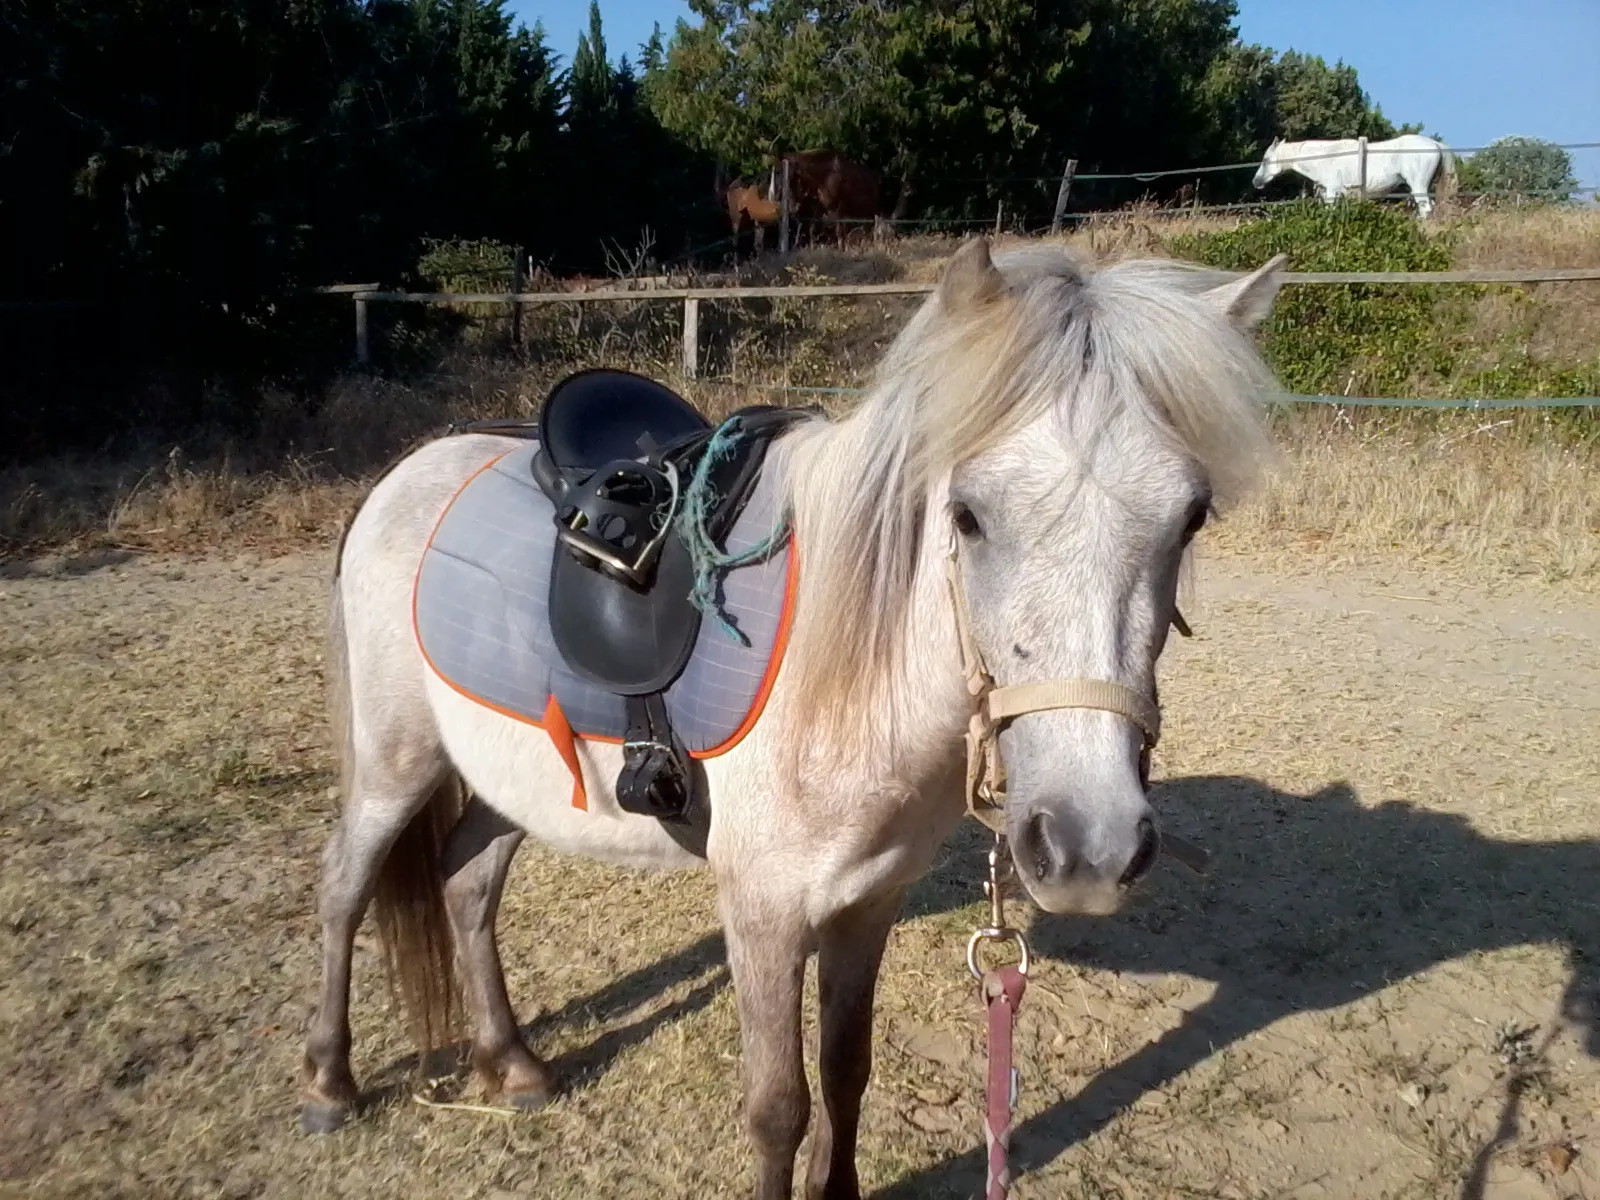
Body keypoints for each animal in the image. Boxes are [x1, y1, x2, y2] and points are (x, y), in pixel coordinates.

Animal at [299, 237, 1289, 1199]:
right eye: (967, 516)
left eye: (1192, 517)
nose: (1089, 849)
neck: (845, 675)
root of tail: (407, 471)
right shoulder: (764, 914)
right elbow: (779, 1105)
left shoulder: (869, 903)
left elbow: (847, 1073)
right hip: (395, 765)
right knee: (345, 885)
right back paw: (330, 1083)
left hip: (515, 777)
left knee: (466, 881)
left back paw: (511, 1064)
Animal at [1253, 133, 1456, 217]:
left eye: (1265, 160)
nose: (1256, 181)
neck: (1327, 156)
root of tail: (1435, 144)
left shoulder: (1332, 193)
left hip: (1418, 185)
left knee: (1426, 209)